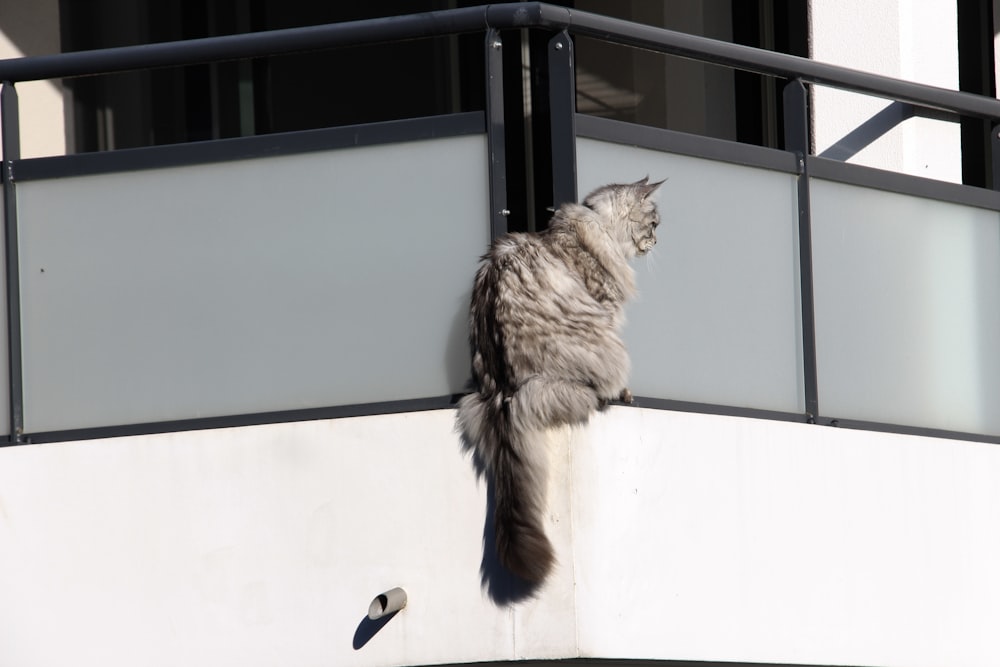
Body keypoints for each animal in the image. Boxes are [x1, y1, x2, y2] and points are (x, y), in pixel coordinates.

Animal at [458, 177, 664, 584]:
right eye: (653, 224)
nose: (656, 242)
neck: (597, 225)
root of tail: (503, 393)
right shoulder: (604, 306)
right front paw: (625, 393)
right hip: (601, 346)